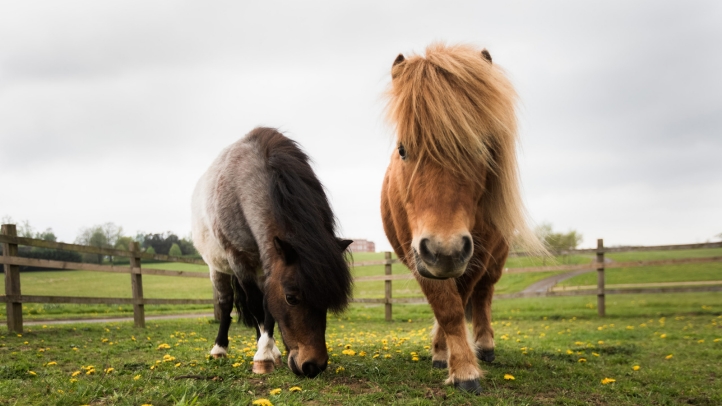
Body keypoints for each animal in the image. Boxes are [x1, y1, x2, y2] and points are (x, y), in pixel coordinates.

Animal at [382, 43, 540, 394]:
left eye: (481, 149)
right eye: (402, 150)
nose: (445, 251)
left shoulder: (474, 255)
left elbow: (462, 301)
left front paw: (462, 363)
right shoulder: (419, 255)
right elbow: (447, 308)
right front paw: (457, 364)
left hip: (493, 260)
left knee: (483, 296)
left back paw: (484, 345)